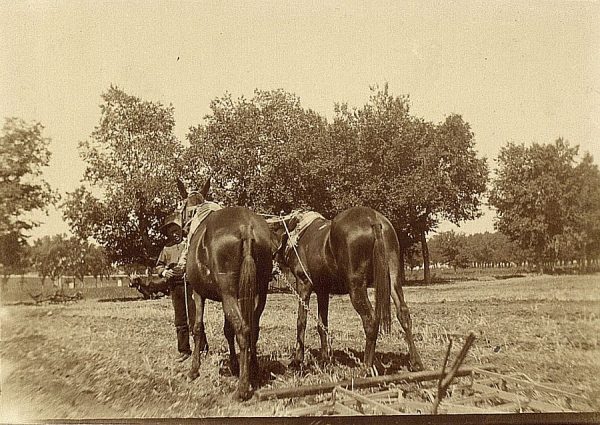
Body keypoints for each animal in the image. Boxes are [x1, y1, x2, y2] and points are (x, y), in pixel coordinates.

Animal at [177, 181, 274, 400]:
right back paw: (253, 370)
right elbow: (227, 330)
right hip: (258, 292)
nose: (183, 230)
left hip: (229, 293)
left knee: (243, 330)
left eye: (182, 208)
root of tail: (246, 227)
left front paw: (194, 370)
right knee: (253, 327)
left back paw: (242, 388)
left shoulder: (199, 293)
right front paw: (235, 365)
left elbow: (198, 327)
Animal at [270, 205, 424, 372]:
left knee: (370, 320)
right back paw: (416, 363)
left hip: (356, 287)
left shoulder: (303, 284)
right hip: (393, 278)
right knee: (403, 313)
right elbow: (322, 325)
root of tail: (373, 219)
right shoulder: (323, 291)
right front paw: (325, 360)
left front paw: (297, 361)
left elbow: (301, 322)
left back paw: (366, 368)